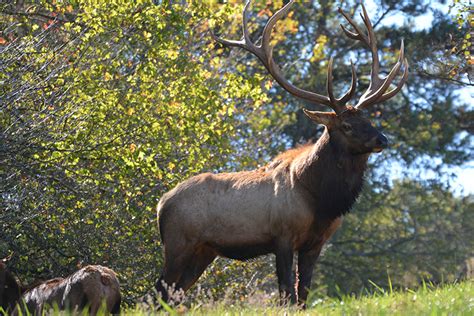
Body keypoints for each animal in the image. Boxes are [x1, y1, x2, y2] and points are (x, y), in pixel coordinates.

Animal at [156, 0, 408, 306]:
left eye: (369, 118)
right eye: (347, 125)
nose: (382, 139)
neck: (321, 200)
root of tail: (161, 204)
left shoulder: (316, 243)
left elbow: (304, 292)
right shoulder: (282, 236)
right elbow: (287, 291)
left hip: (204, 251)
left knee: (174, 293)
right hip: (178, 242)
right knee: (159, 289)